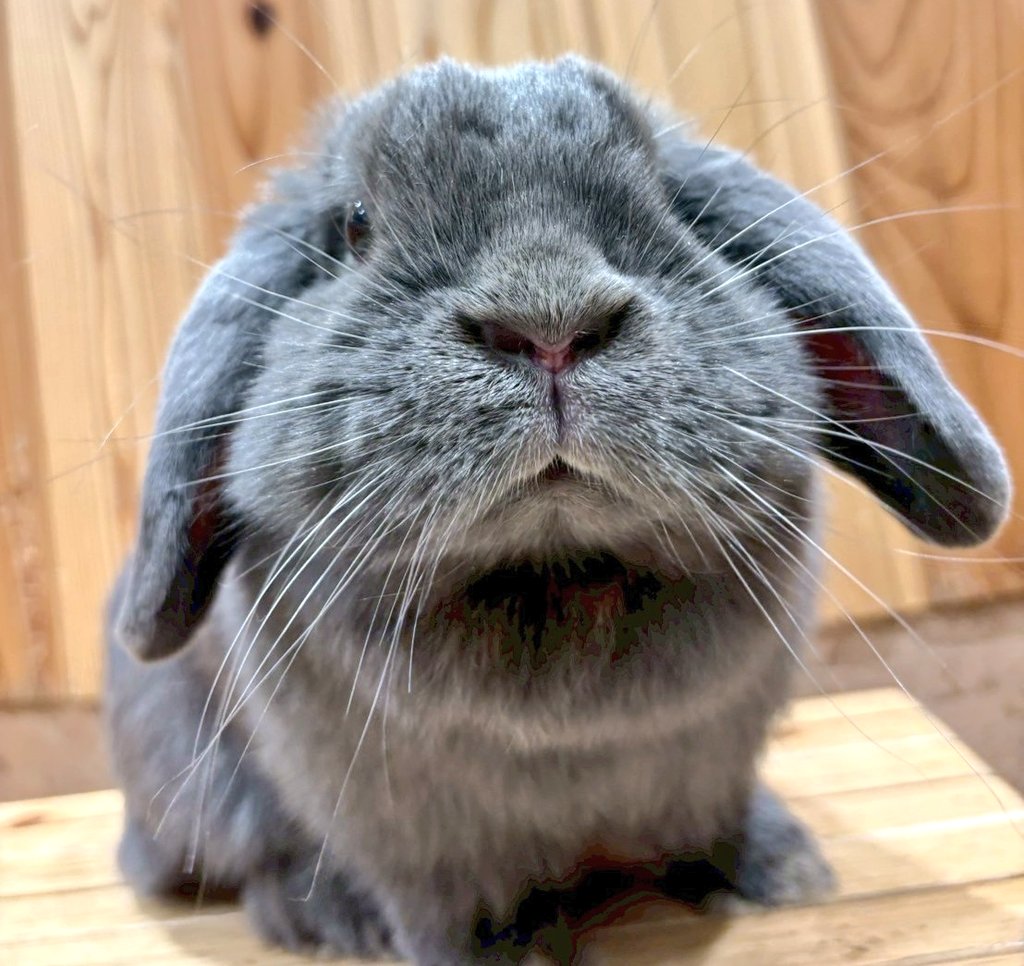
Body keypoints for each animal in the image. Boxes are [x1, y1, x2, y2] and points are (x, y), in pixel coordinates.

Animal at [104, 56, 1011, 964]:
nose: (549, 326)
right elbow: (439, 904)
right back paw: (325, 918)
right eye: (355, 225)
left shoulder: (716, 766)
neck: (557, 576)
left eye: (674, 200)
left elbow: (716, 825)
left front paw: (784, 875)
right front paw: (501, 952)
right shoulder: (402, 837)